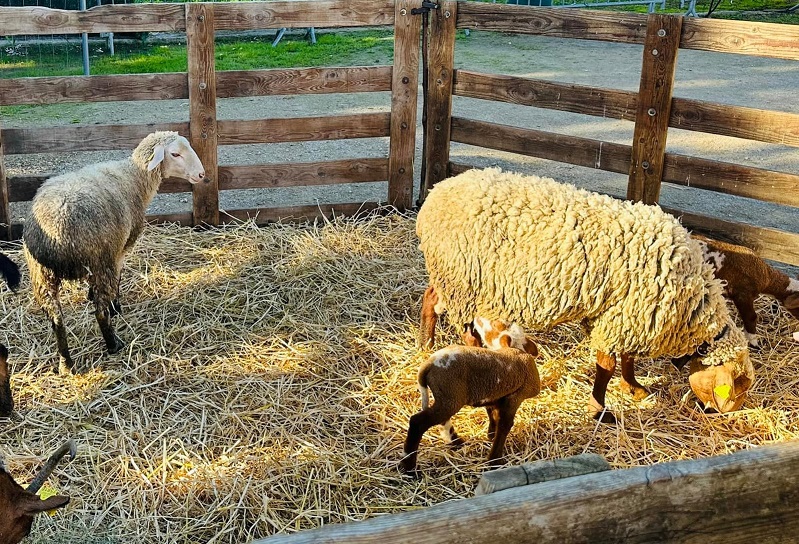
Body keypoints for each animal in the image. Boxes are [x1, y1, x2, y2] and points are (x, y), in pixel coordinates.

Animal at [24, 131, 206, 374]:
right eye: (175, 154)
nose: (201, 174)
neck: (135, 176)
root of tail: (56, 233)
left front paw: (91, 295)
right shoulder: (119, 250)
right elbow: (118, 280)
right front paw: (115, 307)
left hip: (42, 274)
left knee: (57, 320)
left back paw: (66, 364)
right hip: (100, 260)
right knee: (99, 312)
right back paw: (113, 344)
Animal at [418, 168, 756, 422]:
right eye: (734, 388)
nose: (717, 414)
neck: (694, 305)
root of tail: (437, 191)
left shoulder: (625, 316)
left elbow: (627, 359)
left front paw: (634, 388)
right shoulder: (623, 316)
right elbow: (607, 366)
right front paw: (600, 409)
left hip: (455, 279)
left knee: (432, 299)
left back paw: (427, 344)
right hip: (461, 280)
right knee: (461, 325)